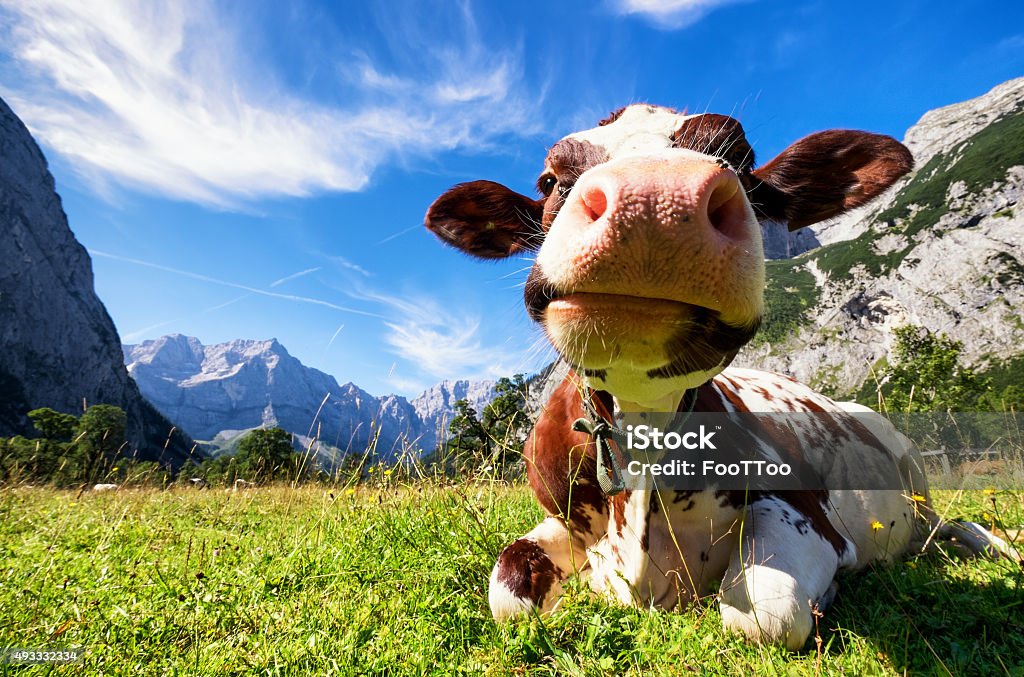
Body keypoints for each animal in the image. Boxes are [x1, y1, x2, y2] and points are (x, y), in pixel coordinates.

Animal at [421, 105, 1007, 651]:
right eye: (549, 179)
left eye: (742, 159)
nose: (654, 199)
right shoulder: (561, 521)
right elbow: (507, 590)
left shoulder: (804, 511)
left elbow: (765, 613)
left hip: (914, 473)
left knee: (947, 525)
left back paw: (987, 542)